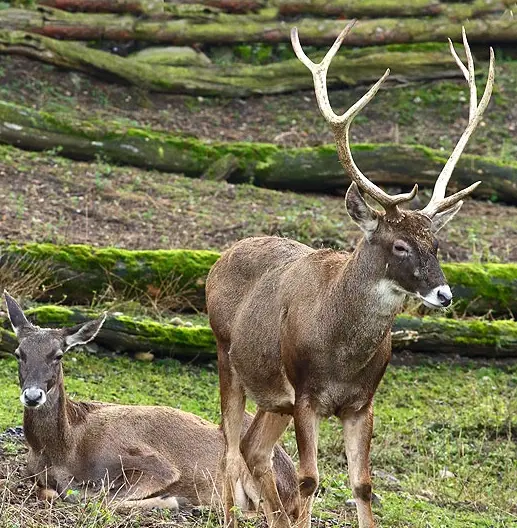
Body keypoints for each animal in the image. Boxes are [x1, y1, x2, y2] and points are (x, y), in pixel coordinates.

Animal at [4, 290, 300, 516]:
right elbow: (54, 492)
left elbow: (98, 498)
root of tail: (293, 480)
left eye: (58, 355)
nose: (33, 396)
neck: (64, 452)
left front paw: (171, 500)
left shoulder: (157, 465)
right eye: (19, 353)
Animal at [204, 21, 494, 528]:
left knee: (253, 447)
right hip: (226, 355)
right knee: (229, 445)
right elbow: (309, 480)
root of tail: (221, 259)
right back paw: (229, 516)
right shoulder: (306, 394)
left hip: (274, 396)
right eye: (399, 245)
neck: (340, 352)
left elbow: (363, 484)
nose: (444, 294)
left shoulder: (363, 403)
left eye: (437, 245)